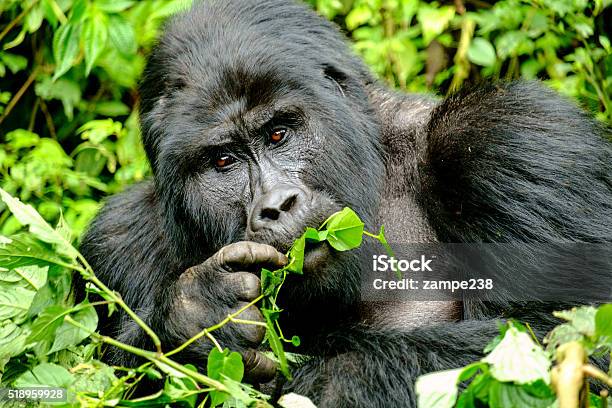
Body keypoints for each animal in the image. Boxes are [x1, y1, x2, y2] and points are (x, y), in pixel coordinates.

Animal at [79, 0, 608, 404]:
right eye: (223, 161)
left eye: (278, 134)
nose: (275, 206)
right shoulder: (117, 240)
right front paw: (195, 320)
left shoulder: (514, 138)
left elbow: (553, 341)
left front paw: (319, 380)